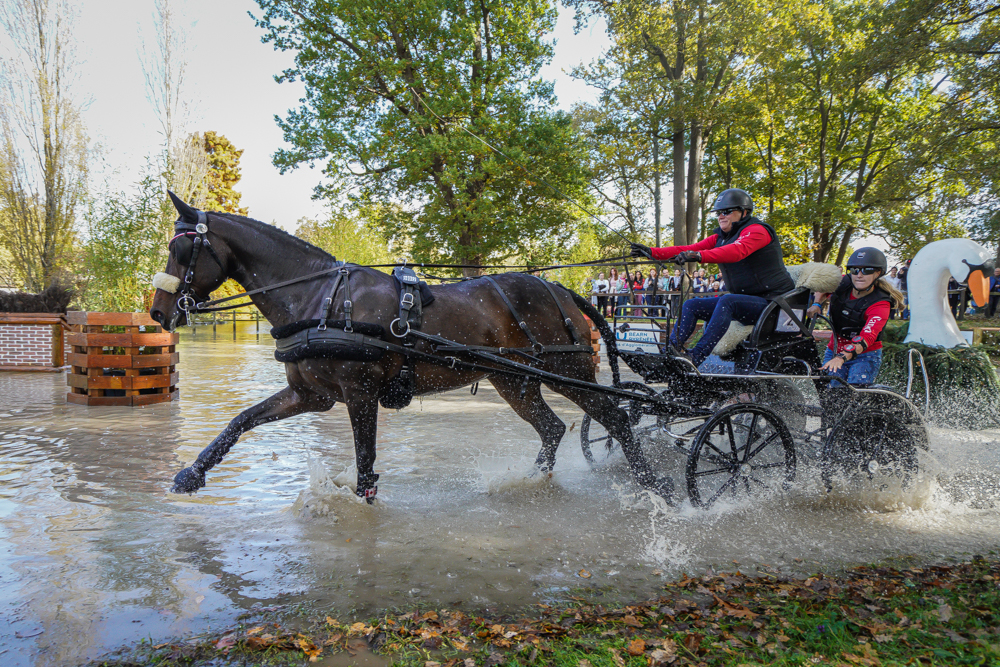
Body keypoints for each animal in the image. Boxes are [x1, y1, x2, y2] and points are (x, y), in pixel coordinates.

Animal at [149, 193, 674, 503]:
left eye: (181, 250)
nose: (157, 311)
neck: (321, 298)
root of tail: (563, 291)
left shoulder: (359, 394)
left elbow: (365, 464)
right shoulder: (311, 395)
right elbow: (240, 422)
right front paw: (192, 473)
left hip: (571, 374)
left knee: (615, 420)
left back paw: (661, 487)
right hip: (514, 381)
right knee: (551, 428)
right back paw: (528, 482)